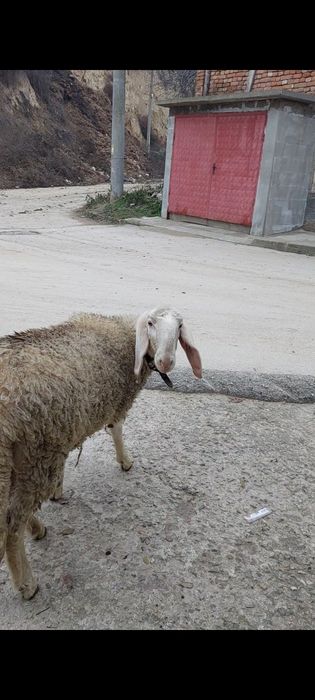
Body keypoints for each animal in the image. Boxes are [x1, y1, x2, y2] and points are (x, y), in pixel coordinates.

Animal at [0, 308, 202, 600]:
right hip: (34, 455)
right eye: (150, 323)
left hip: (23, 460)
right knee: (12, 528)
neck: (126, 335)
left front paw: (58, 490)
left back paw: (36, 528)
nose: (165, 361)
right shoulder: (118, 402)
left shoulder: (67, 426)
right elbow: (116, 430)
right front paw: (125, 461)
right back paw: (26, 583)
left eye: (179, 327)